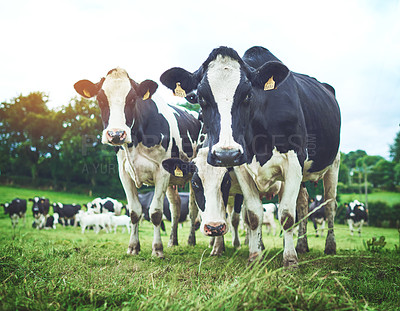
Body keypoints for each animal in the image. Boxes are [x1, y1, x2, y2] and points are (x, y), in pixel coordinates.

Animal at [74, 69, 202, 258]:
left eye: (133, 99)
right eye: (101, 99)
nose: (116, 134)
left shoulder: (162, 172)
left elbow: (156, 213)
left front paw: (157, 249)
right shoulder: (124, 172)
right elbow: (134, 212)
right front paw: (133, 247)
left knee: (193, 209)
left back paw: (191, 240)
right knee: (175, 208)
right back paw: (173, 241)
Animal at [160, 46, 340, 268]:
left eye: (247, 95)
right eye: (201, 97)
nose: (225, 154)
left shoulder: (293, 162)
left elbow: (287, 216)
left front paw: (289, 260)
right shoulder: (242, 168)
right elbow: (253, 216)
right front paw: (254, 256)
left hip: (333, 164)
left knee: (330, 205)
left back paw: (329, 246)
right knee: (304, 203)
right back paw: (302, 245)